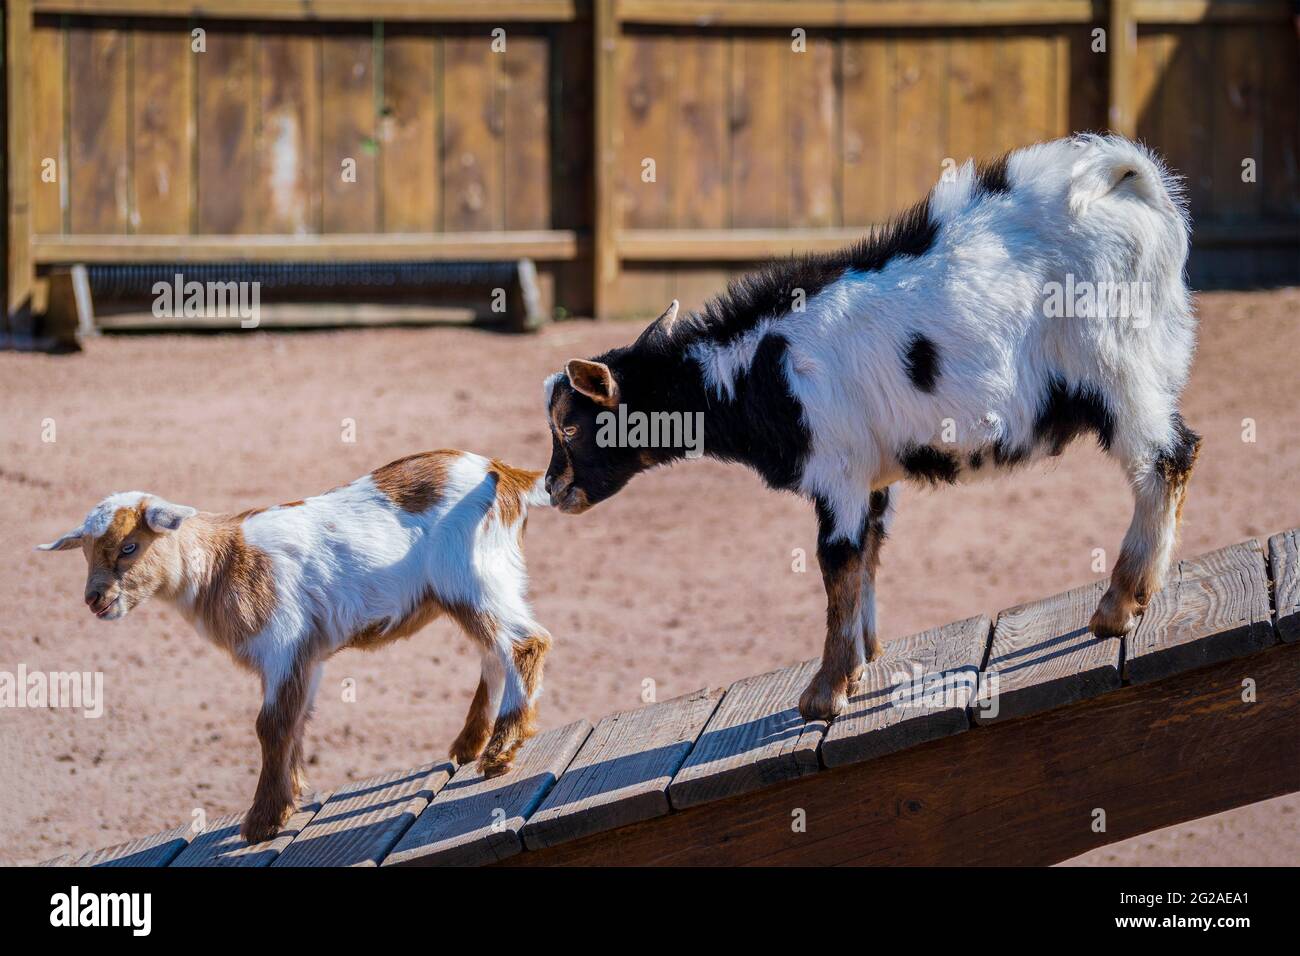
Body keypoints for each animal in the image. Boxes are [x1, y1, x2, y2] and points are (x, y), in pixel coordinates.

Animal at [543, 132, 1201, 717]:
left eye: (570, 428)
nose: (552, 489)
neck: (759, 364)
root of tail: (1131, 180)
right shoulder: (873, 478)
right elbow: (869, 555)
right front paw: (864, 660)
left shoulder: (838, 470)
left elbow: (836, 563)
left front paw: (824, 692)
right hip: (1149, 366)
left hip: (1117, 368)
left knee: (1166, 459)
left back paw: (1117, 606)